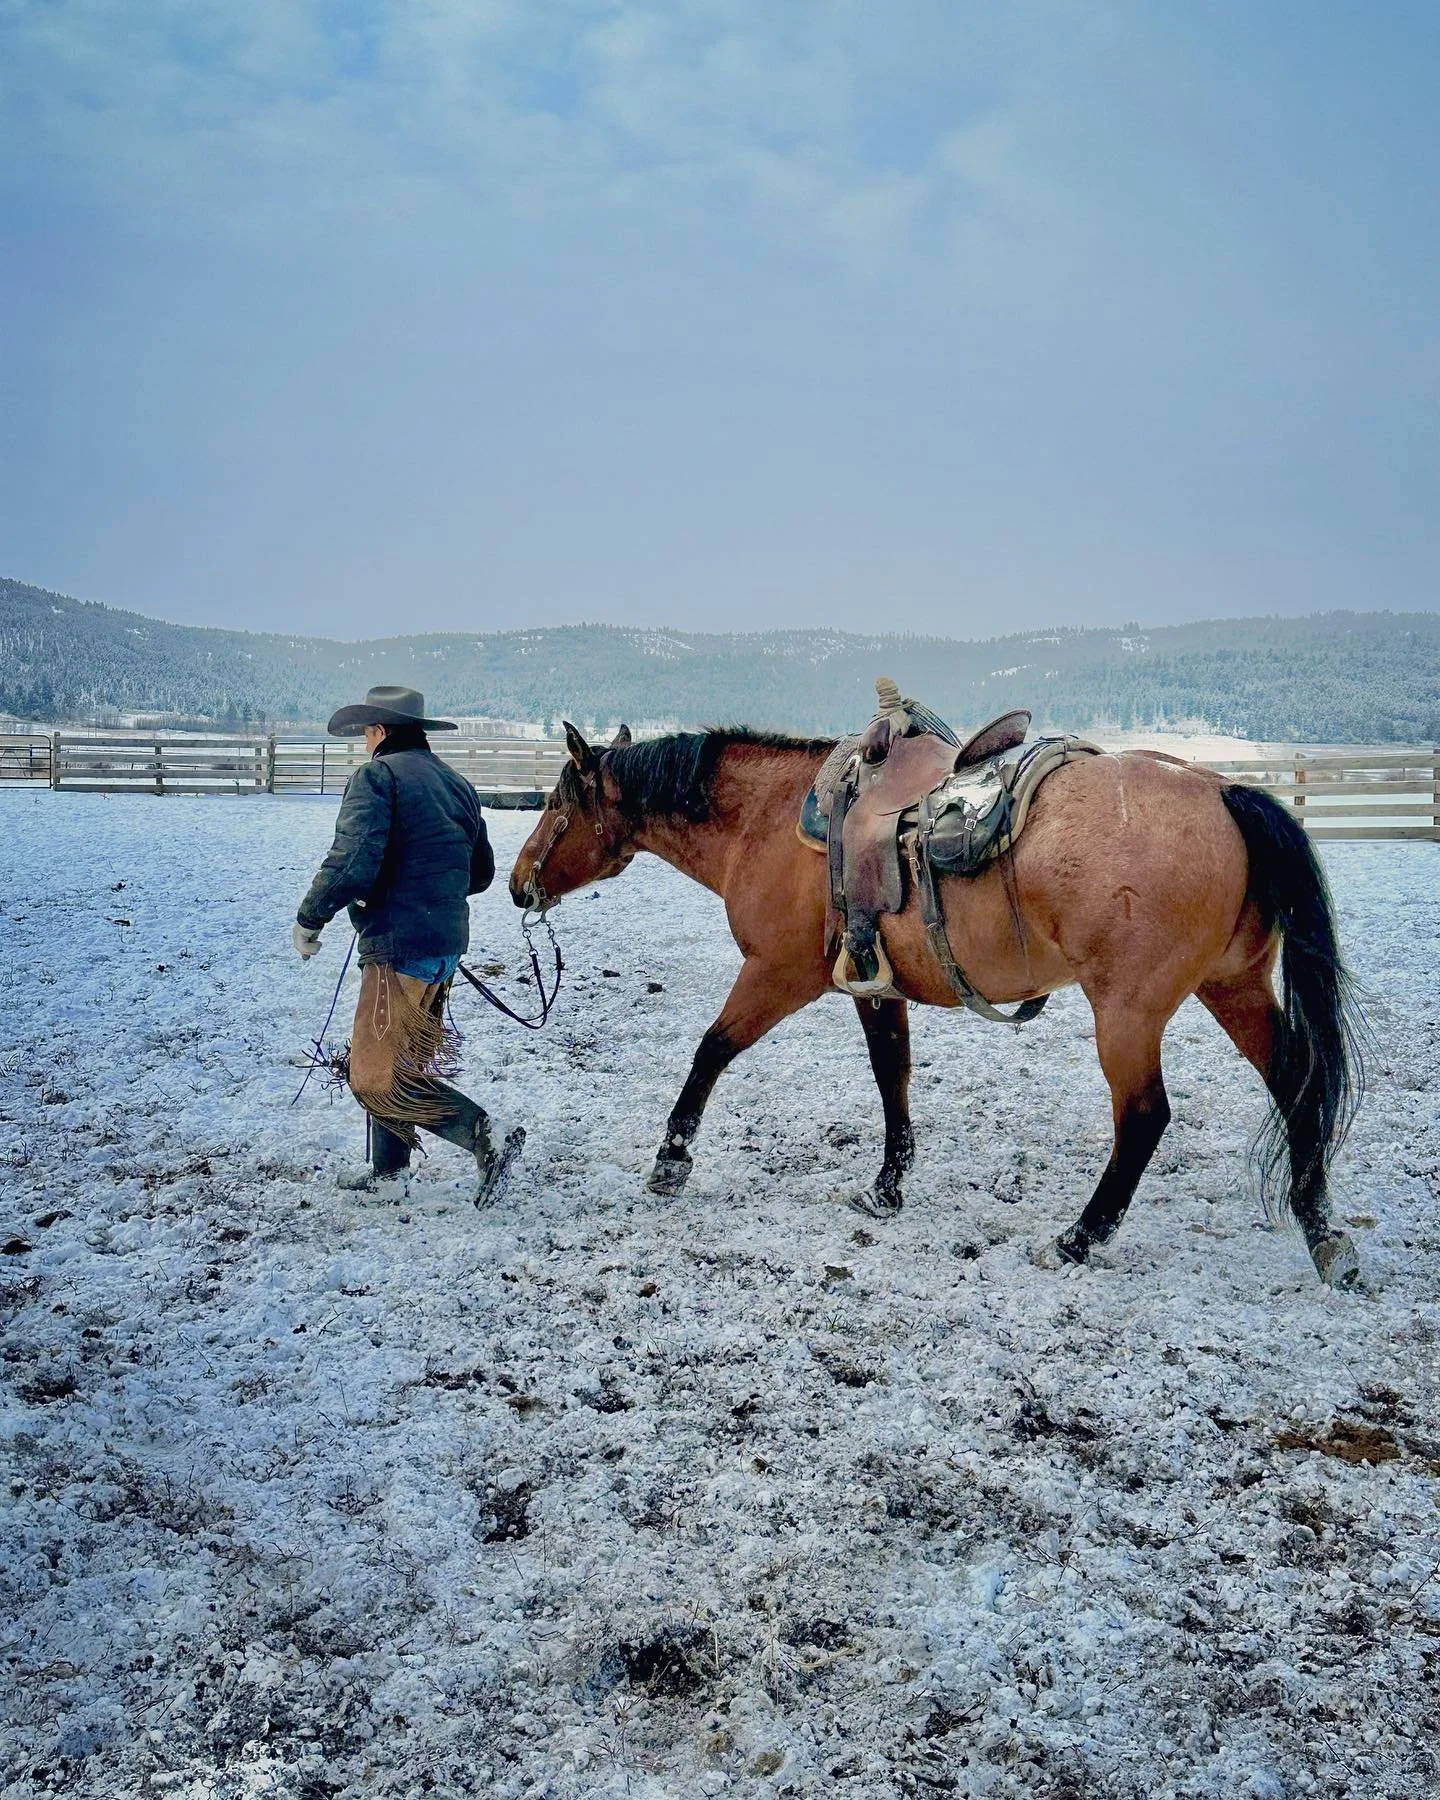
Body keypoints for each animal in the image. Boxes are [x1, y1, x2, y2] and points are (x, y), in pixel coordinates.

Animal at [510, 722, 1367, 1287]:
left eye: (555, 804)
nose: (517, 884)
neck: (775, 819)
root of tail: (1225, 793)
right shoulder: (873, 983)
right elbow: (892, 1074)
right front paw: (887, 1185)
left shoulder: (777, 975)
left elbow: (712, 1049)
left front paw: (672, 1159)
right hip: (1235, 987)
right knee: (1297, 1083)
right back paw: (1322, 1232)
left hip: (1128, 1012)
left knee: (1145, 1117)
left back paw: (1078, 1238)